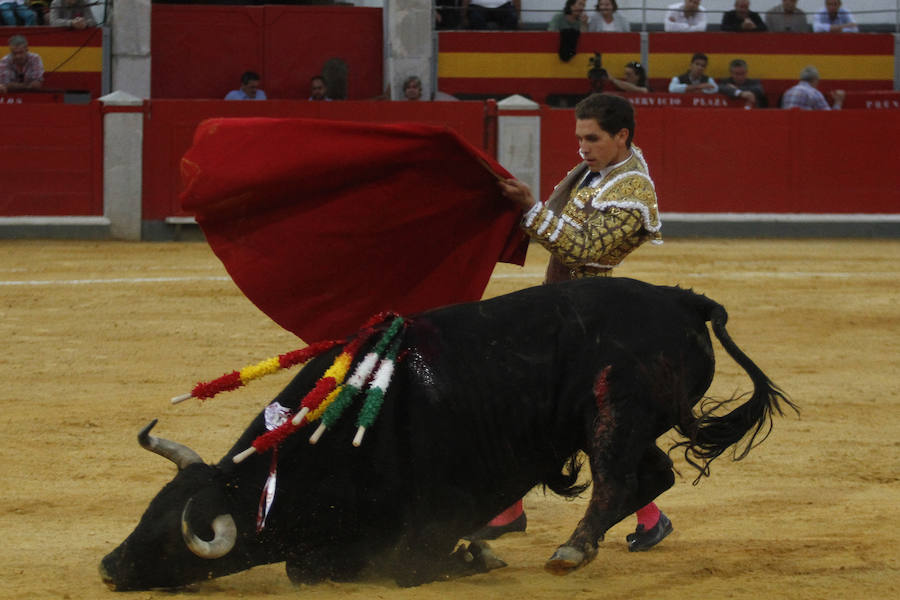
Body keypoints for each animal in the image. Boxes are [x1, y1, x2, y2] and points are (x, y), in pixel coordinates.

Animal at [100, 278, 796, 592]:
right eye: (145, 514)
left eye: (170, 537)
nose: (108, 567)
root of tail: (681, 299)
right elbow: (307, 569)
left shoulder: (429, 520)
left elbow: (409, 565)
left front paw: (476, 555)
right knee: (653, 474)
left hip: (614, 412)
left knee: (618, 478)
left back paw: (572, 550)